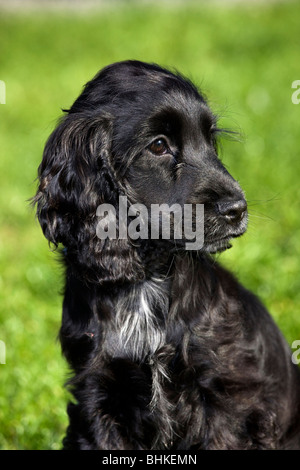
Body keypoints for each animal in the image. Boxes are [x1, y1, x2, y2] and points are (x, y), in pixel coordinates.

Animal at [34, 60, 300, 450]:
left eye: (211, 141)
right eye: (159, 146)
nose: (237, 209)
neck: (148, 277)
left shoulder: (229, 397)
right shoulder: (97, 393)